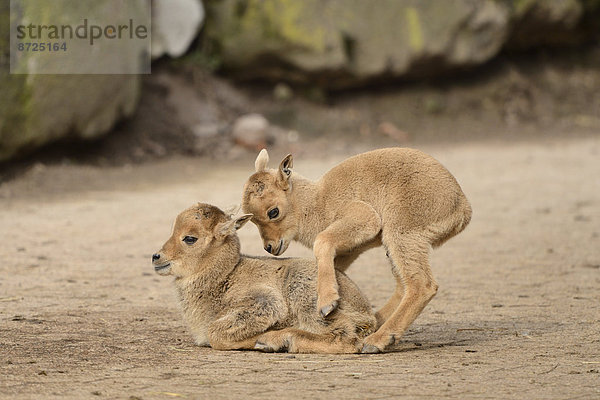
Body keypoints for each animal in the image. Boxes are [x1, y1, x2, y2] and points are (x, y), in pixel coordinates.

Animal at [151, 203, 376, 354]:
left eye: (190, 238)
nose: (156, 257)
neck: (225, 277)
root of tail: (365, 312)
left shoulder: (266, 301)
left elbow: (216, 333)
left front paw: (262, 340)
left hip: (306, 296)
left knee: (346, 337)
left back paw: (279, 340)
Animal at [241, 148, 472, 354]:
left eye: (273, 211)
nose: (270, 247)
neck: (318, 203)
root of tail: (462, 207)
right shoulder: (349, 250)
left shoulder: (363, 218)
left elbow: (321, 242)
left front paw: (327, 304)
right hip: (394, 244)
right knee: (403, 284)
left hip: (401, 233)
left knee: (422, 284)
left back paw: (377, 341)